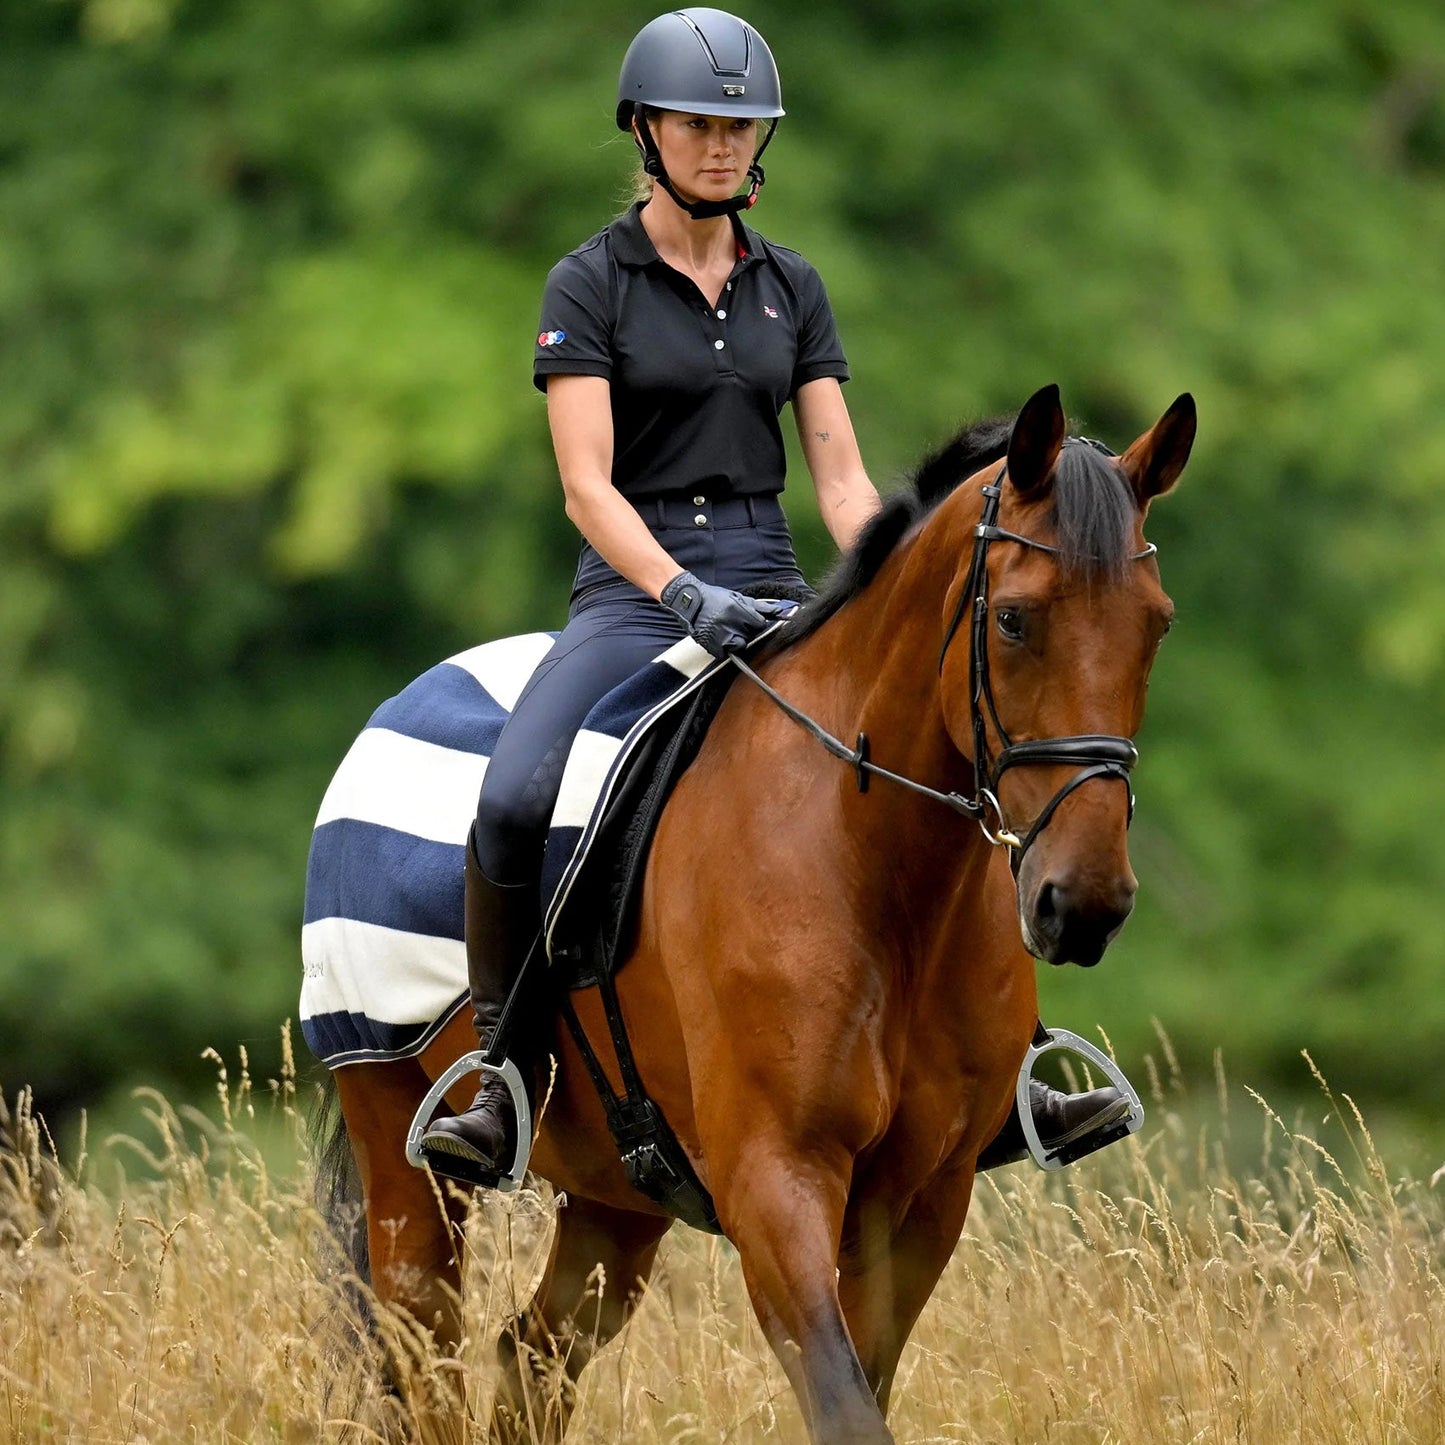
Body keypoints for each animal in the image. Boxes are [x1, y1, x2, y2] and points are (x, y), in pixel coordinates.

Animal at [313, 382, 1195, 1443]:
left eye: (1156, 624)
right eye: (1016, 620)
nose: (1085, 903)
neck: (875, 868)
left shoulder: (920, 1203)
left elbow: (864, 1387)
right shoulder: (776, 1181)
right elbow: (844, 1403)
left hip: (614, 1196)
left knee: (531, 1357)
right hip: (402, 1155)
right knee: (427, 1371)